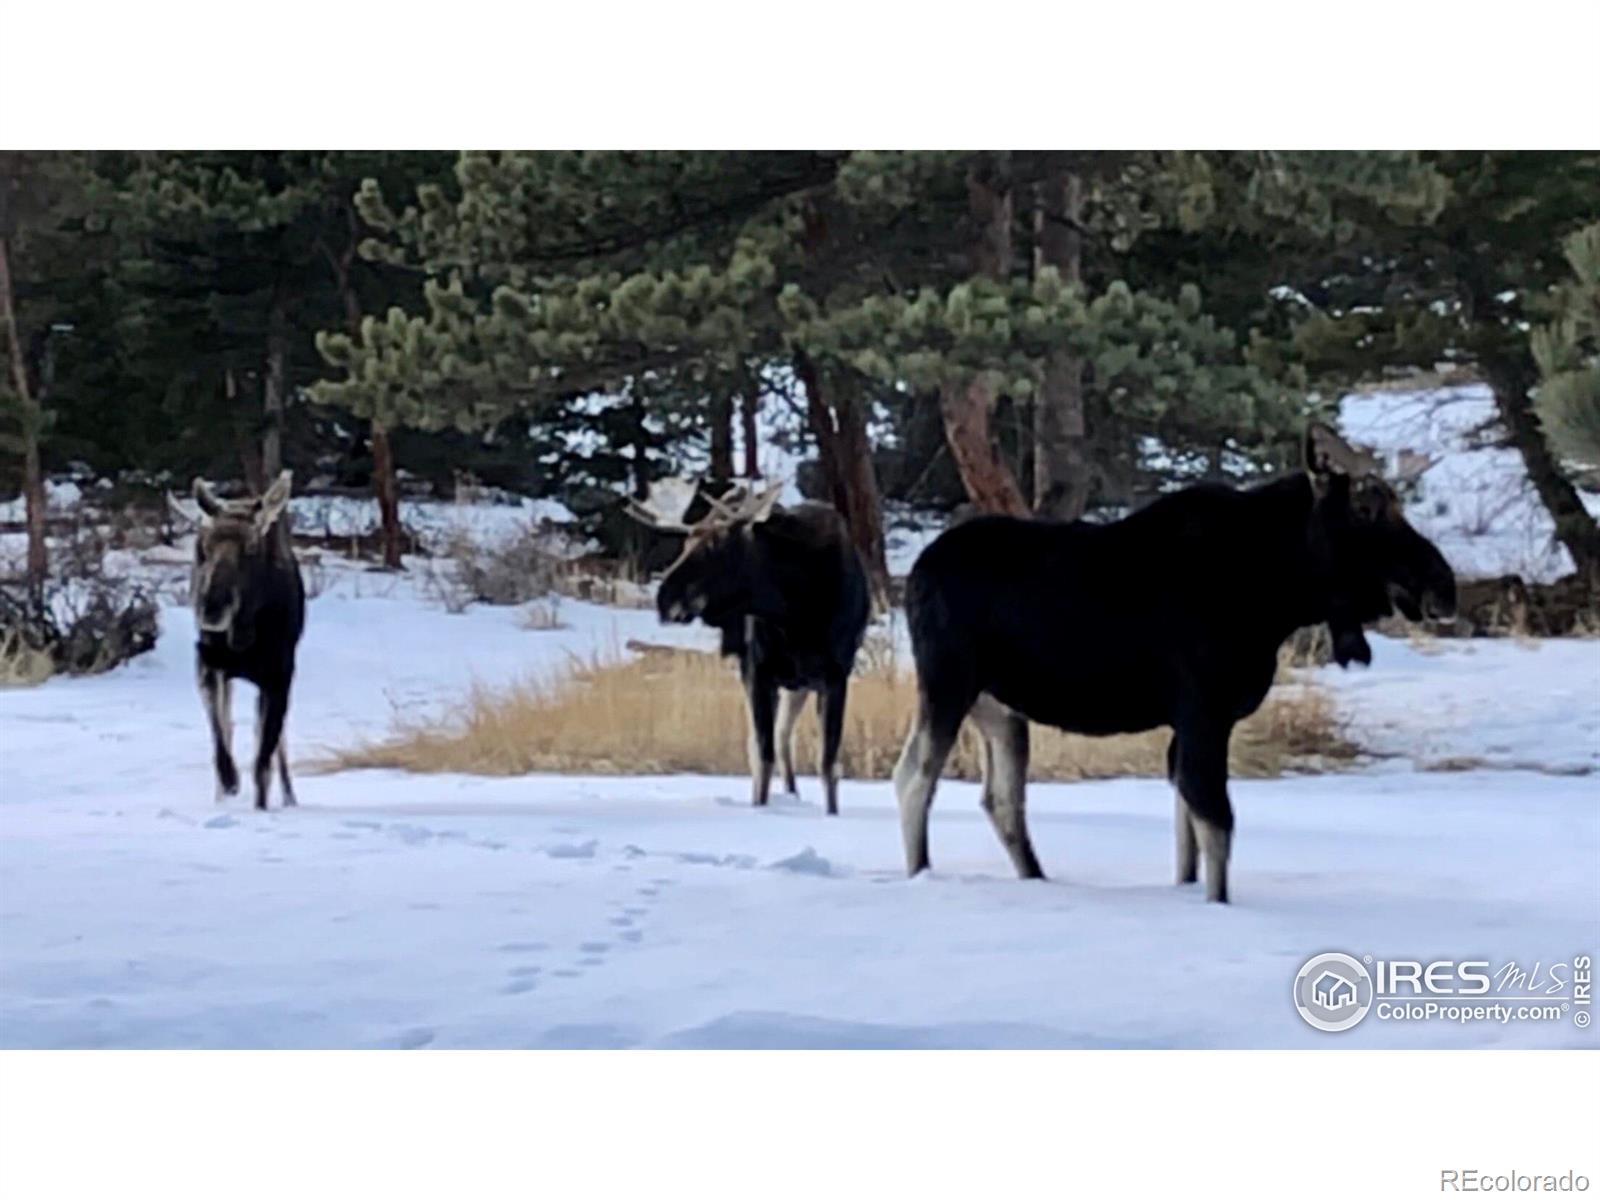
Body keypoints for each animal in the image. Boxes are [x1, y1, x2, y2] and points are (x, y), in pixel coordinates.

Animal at [627, 480, 876, 819]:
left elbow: (827, 762)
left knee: (784, 737)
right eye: (687, 541)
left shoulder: (836, 674)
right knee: (768, 743)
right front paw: (760, 808)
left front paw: (831, 815)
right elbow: (762, 754)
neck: (797, 610)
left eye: (715, 545)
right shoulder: (758, 670)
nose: (664, 598)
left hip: (799, 683)